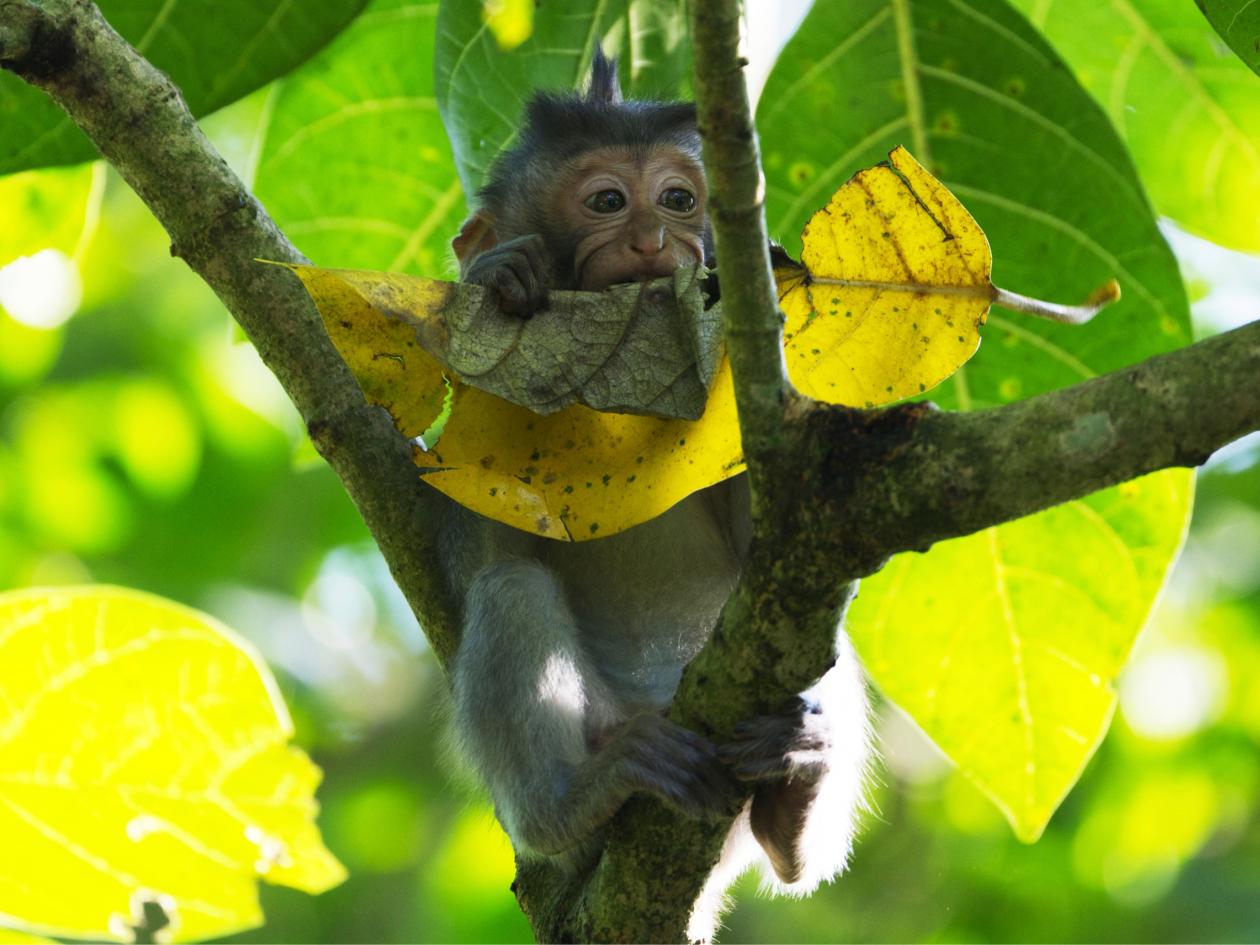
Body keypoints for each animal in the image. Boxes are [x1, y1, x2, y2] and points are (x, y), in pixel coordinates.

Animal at [441, 50, 866, 927]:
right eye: (607, 201)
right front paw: (502, 278)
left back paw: (793, 802)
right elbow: (473, 550)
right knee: (511, 589)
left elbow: (780, 556)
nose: (653, 238)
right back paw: (575, 799)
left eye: (678, 199)